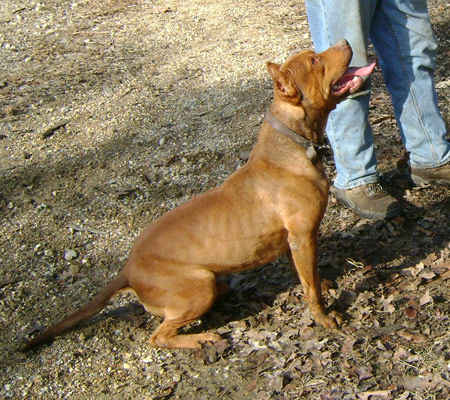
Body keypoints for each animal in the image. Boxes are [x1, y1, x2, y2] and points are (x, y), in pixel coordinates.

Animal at [21, 39, 374, 350]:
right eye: (315, 61)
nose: (345, 41)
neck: (292, 143)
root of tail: (127, 270)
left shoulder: (294, 239)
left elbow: (306, 276)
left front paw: (319, 282)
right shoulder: (302, 235)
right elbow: (311, 290)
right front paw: (324, 317)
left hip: (208, 284)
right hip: (198, 286)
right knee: (159, 337)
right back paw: (201, 339)